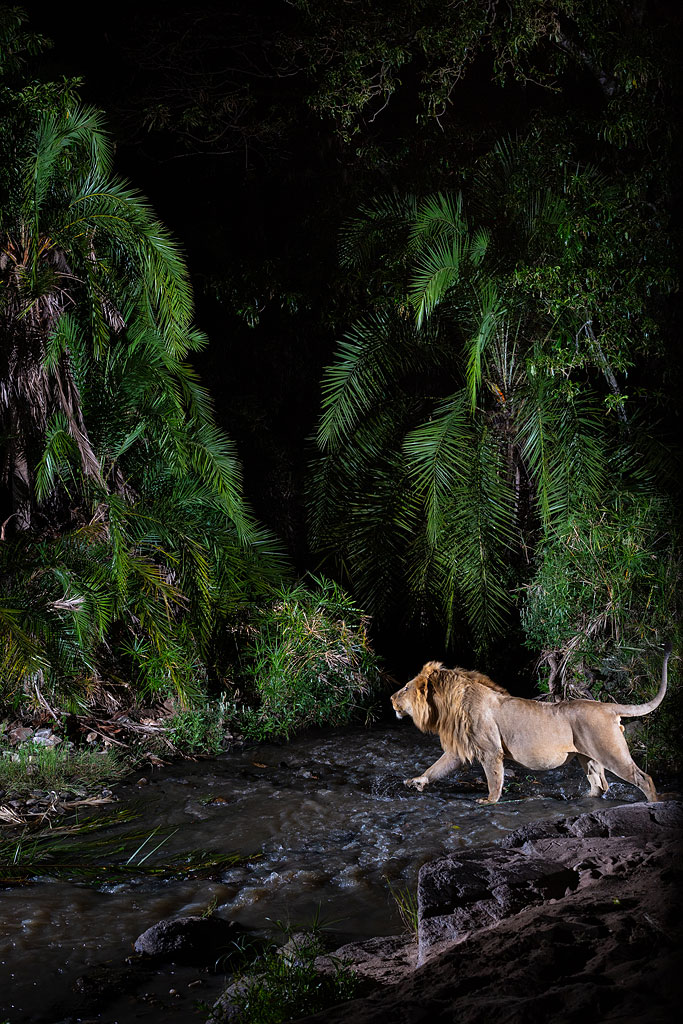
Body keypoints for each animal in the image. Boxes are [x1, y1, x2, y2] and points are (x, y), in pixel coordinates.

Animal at [391, 646, 671, 804]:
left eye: (405, 688)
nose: (391, 698)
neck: (450, 704)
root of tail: (607, 706)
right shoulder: (461, 750)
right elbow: (437, 767)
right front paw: (417, 781)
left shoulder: (490, 750)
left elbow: (494, 778)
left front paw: (489, 801)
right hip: (588, 757)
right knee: (599, 785)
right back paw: (585, 798)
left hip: (610, 751)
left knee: (644, 778)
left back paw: (653, 803)